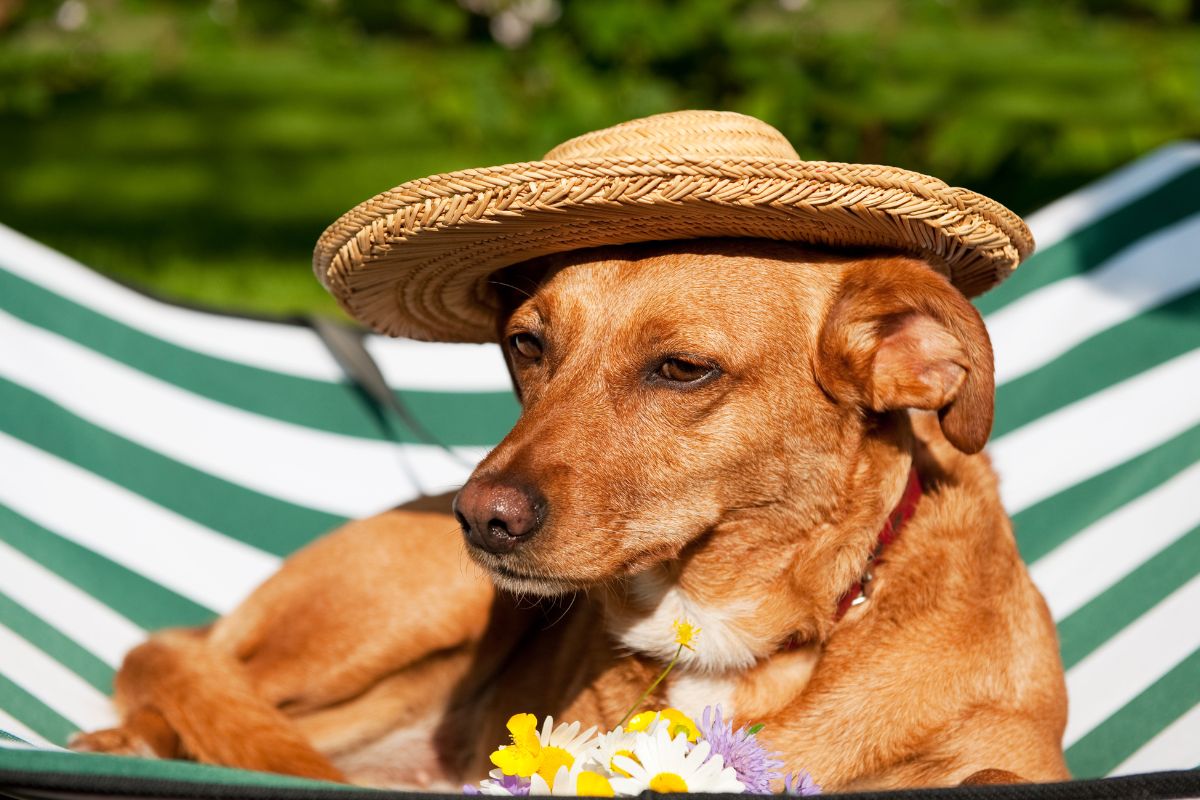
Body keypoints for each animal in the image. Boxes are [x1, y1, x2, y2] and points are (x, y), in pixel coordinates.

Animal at [72, 241, 1070, 791]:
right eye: (527, 344)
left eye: (683, 369)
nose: (479, 518)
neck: (727, 636)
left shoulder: (1020, 757)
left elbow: (985, 767)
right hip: (406, 612)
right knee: (201, 676)